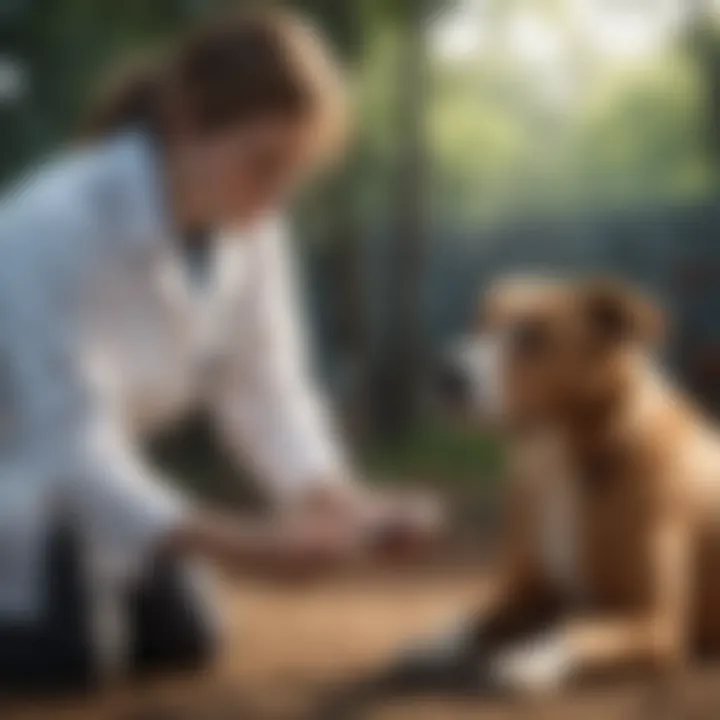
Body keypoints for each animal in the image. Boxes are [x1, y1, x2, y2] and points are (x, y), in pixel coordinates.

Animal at [434, 274, 720, 692]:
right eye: (478, 323)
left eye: (533, 335)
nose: (446, 373)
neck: (564, 468)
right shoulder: (531, 590)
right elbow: (479, 618)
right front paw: (437, 642)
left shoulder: (657, 624)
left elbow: (573, 630)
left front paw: (529, 658)